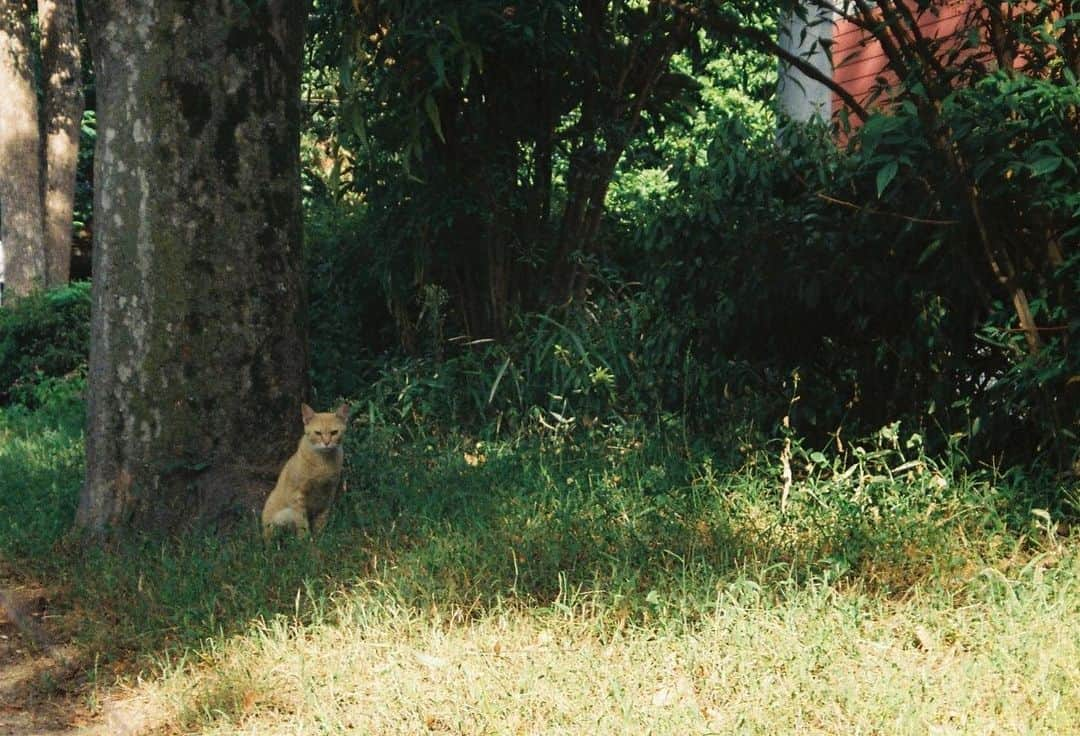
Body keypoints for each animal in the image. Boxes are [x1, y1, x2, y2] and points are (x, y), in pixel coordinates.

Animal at [261, 402, 349, 540]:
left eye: (334, 432)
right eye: (318, 433)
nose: (327, 443)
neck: (323, 463)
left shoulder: (328, 494)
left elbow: (322, 519)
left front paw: (320, 537)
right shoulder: (297, 497)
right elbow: (302, 522)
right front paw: (306, 540)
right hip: (283, 516)